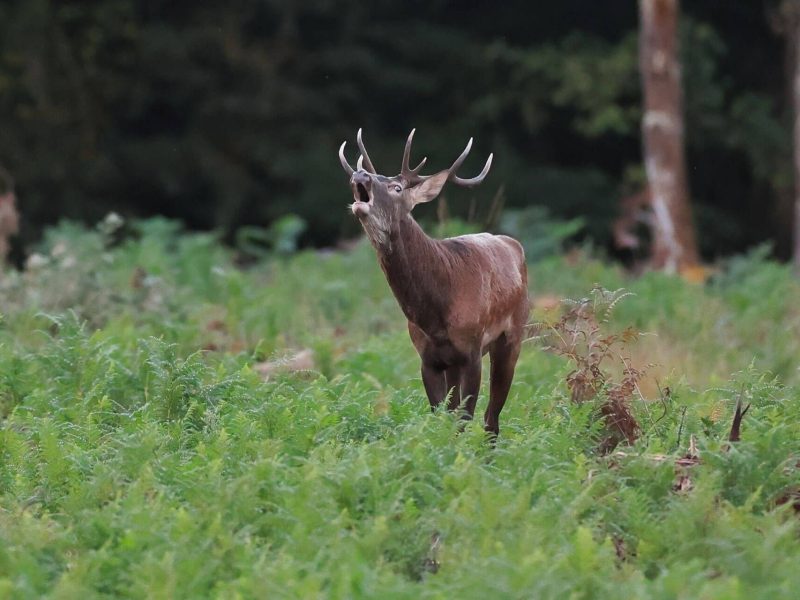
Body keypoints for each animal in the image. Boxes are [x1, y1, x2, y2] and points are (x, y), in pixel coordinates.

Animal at [338, 129, 529, 437]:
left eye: (397, 188)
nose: (361, 174)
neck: (436, 312)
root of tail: (513, 245)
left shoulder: (472, 350)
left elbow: (465, 417)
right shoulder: (428, 358)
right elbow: (442, 416)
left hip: (513, 335)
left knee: (492, 419)